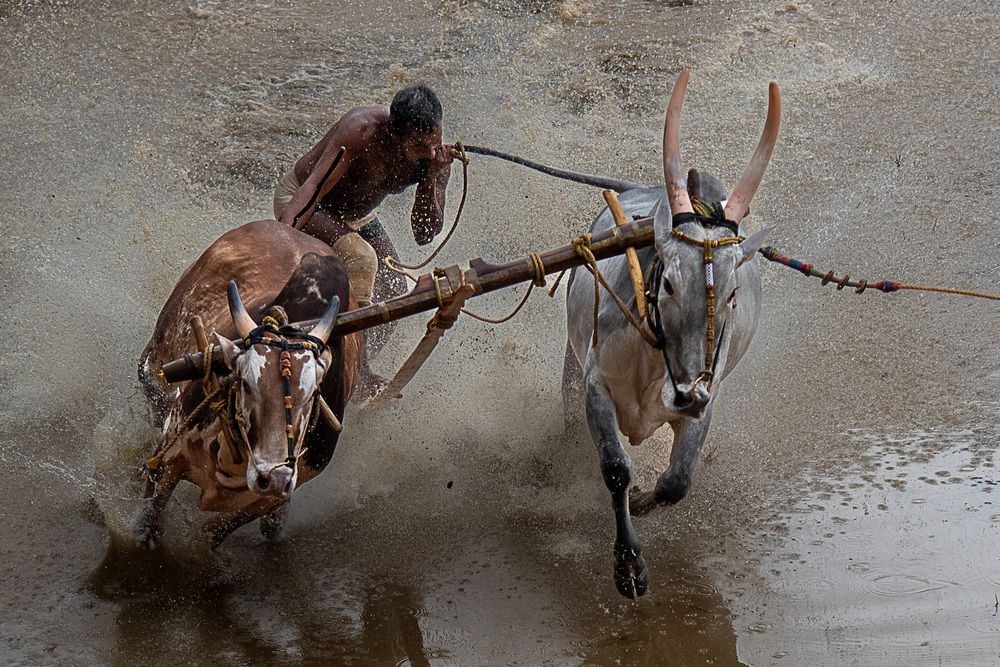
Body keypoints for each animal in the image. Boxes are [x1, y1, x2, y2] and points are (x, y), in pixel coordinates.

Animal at [135, 219, 363, 549]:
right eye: (245, 383)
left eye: (311, 396)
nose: (274, 476)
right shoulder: (171, 449)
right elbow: (147, 522)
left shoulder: (279, 491)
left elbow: (214, 532)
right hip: (161, 348)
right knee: (152, 383)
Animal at [563, 70, 781, 598]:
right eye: (667, 283)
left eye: (732, 294)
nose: (686, 395)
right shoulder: (596, 384)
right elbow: (616, 470)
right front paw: (628, 566)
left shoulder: (708, 397)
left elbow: (676, 482)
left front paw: (646, 501)